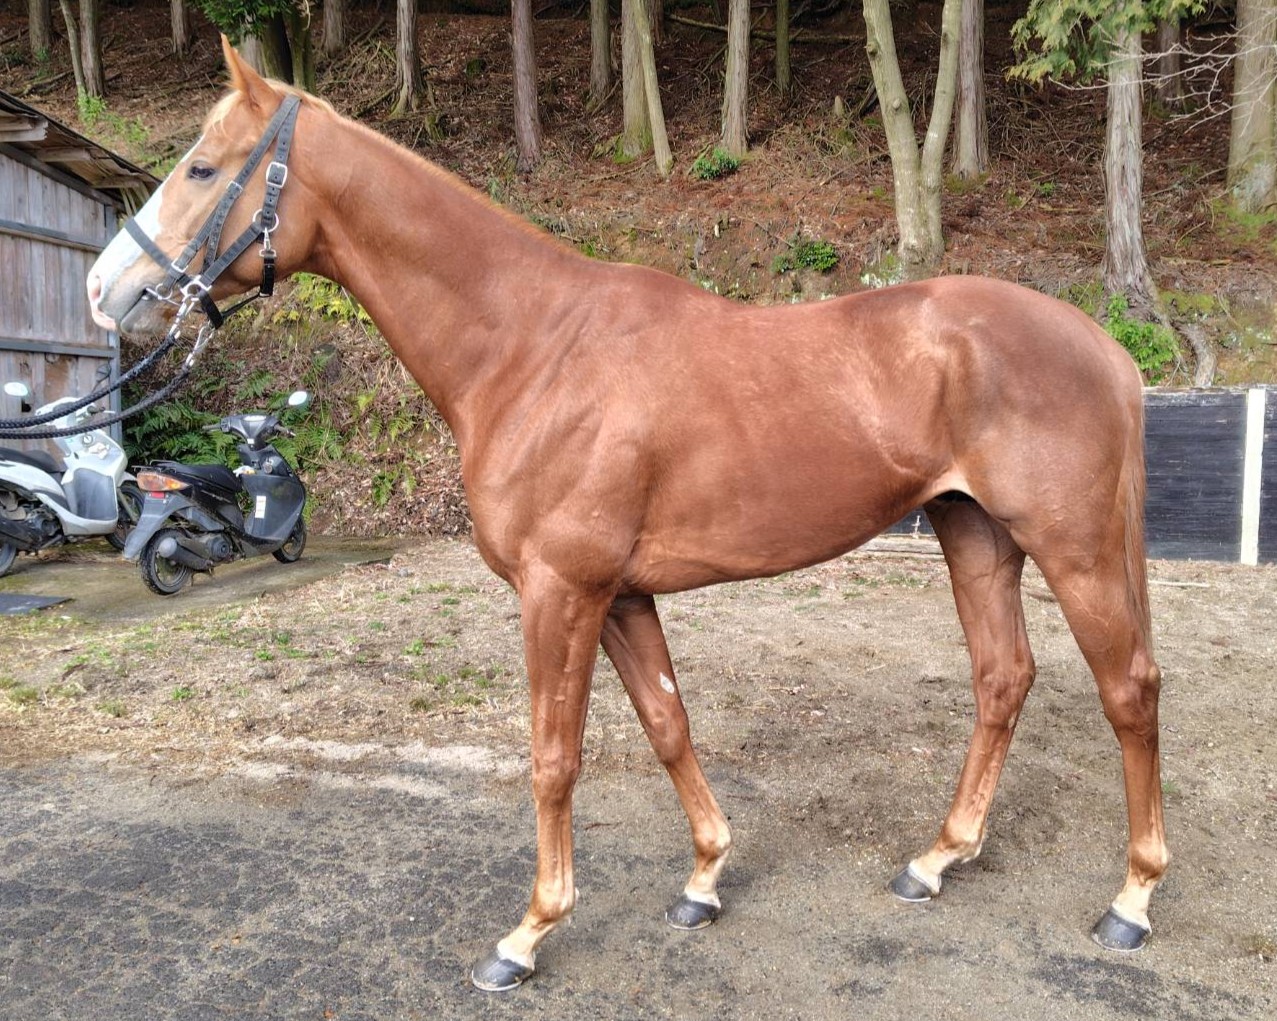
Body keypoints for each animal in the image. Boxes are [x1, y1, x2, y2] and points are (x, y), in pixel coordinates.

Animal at [87, 38, 1168, 992]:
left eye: (202, 166)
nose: (105, 290)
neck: (531, 347)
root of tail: (1104, 349)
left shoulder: (558, 590)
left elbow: (552, 759)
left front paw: (527, 934)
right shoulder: (619, 594)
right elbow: (666, 722)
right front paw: (703, 877)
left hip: (1070, 547)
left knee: (1127, 689)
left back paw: (1130, 899)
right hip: (972, 533)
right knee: (1001, 678)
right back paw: (937, 858)